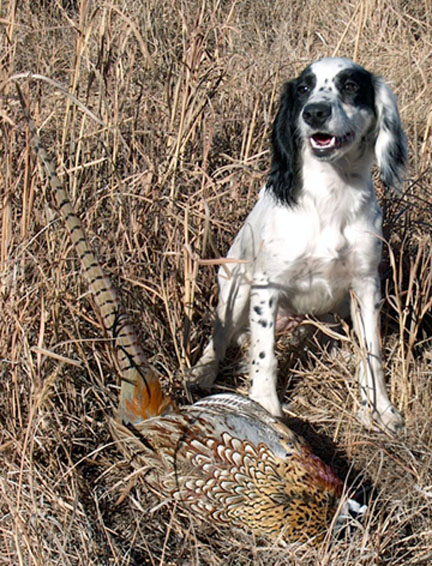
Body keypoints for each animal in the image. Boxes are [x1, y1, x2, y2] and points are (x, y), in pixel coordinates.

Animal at [191, 57, 406, 434]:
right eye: (304, 88)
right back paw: (202, 372)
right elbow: (265, 357)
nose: (315, 112)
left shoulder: (366, 285)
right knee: (219, 338)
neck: (330, 196)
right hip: (236, 287)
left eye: (351, 86)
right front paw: (264, 407)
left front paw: (380, 409)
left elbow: (373, 354)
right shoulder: (267, 286)